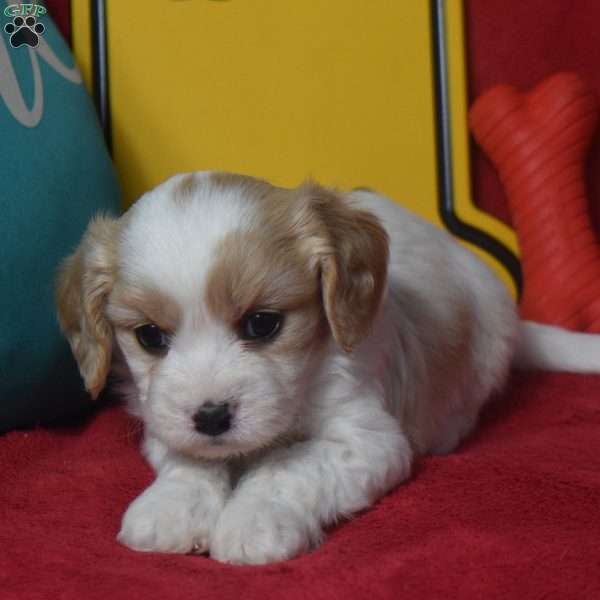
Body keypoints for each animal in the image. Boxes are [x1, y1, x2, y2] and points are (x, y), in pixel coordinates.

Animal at [55, 171, 600, 564]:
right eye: (150, 336)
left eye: (262, 324)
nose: (211, 418)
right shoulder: (164, 421)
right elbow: (191, 460)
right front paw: (169, 509)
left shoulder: (367, 437)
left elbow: (290, 466)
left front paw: (253, 521)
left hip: (485, 348)